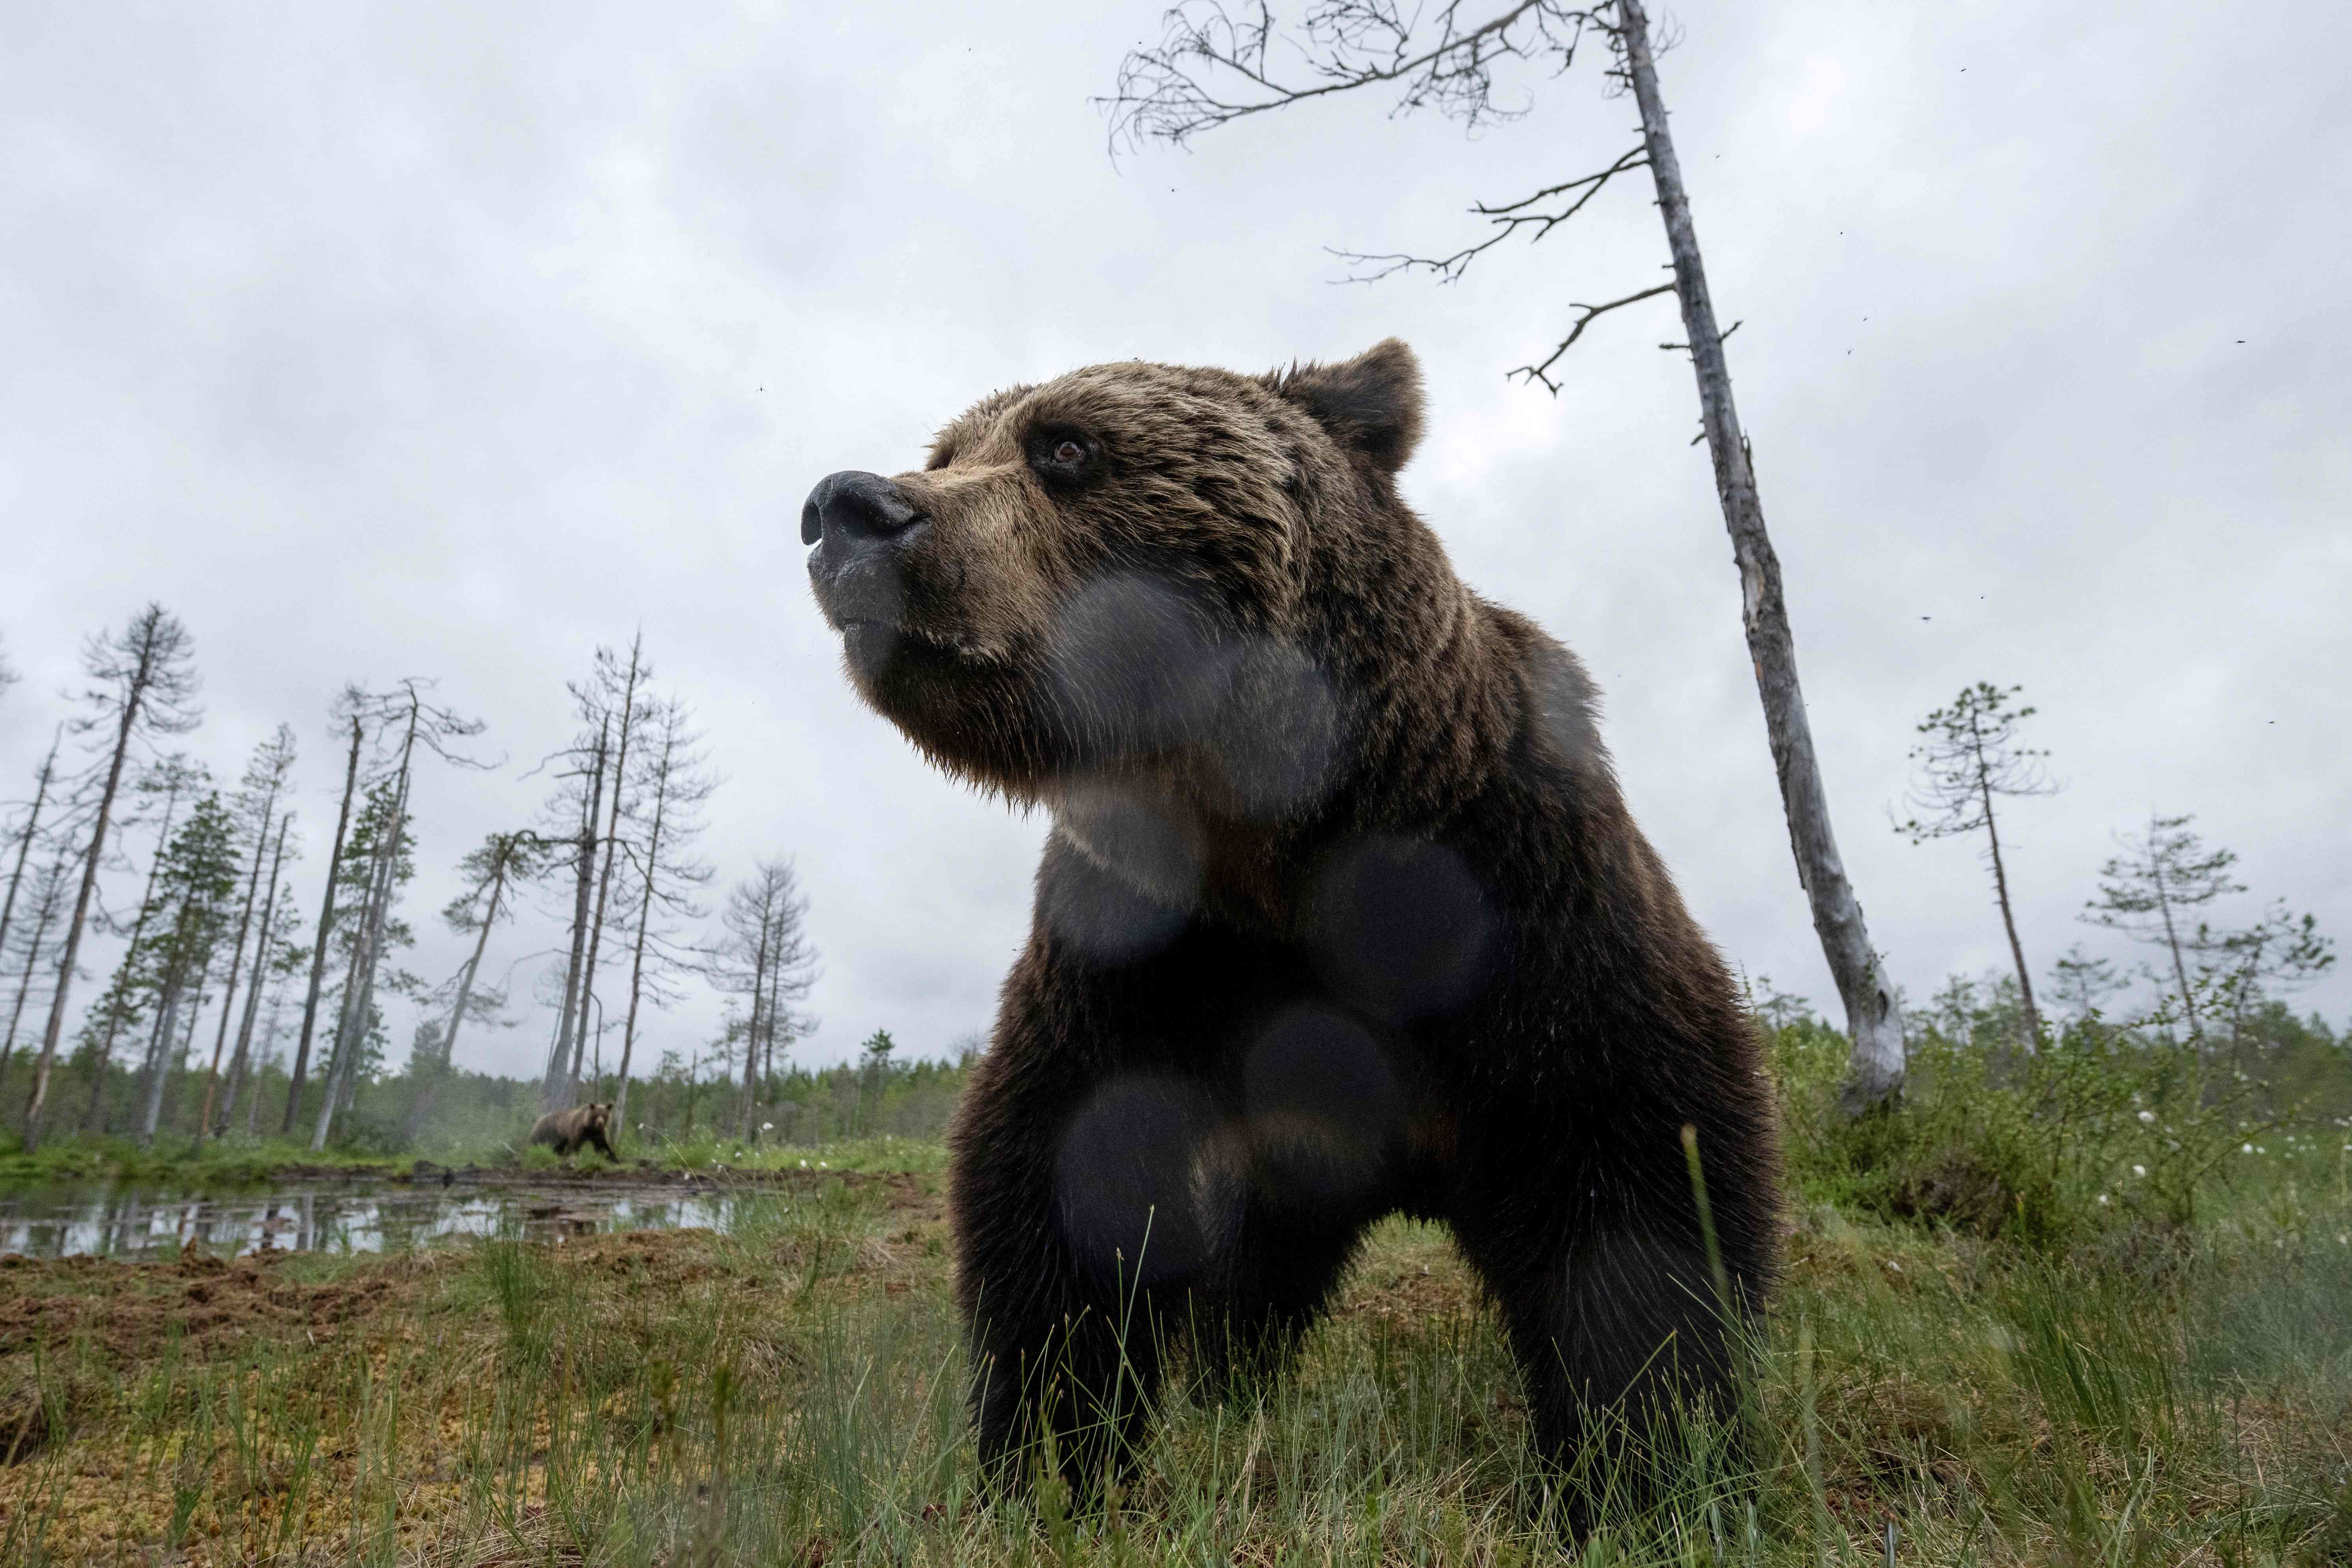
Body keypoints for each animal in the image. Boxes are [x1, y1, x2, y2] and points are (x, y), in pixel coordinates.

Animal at [527, 1105, 616, 1166]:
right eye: (596, 1115)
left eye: (604, 1115)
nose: (600, 1123)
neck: (589, 1128)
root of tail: (537, 1122)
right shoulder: (577, 1130)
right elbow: (574, 1144)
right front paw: (572, 1157)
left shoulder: (598, 1133)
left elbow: (603, 1145)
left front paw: (613, 1158)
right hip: (545, 1133)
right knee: (536, 1144)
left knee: (558, 1148)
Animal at [800, 334, 1769, 1523]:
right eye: (947, 449)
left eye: (1066, 446)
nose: (851, 505)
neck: (1282, 846)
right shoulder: (1146, 947)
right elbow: (1064, 1179)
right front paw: (1054, 1456)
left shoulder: (1528, 906)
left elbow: (1635, 1183)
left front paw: (1647, 1470)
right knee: (1247, 1288)